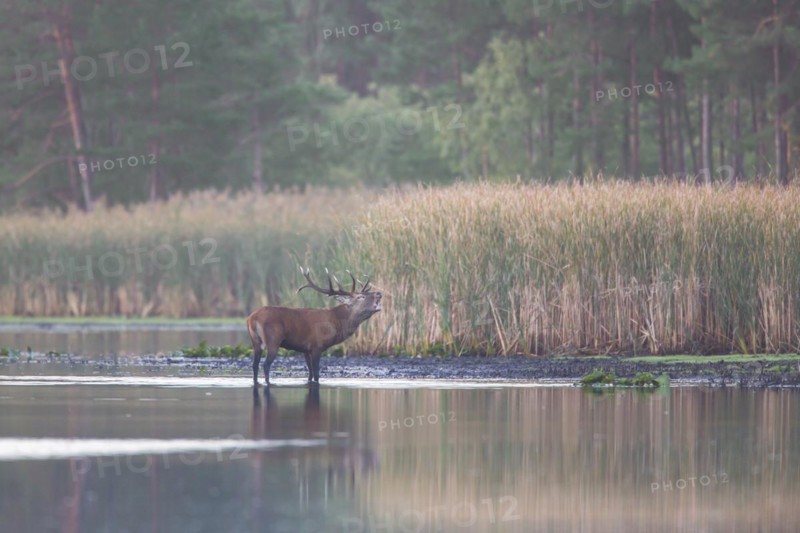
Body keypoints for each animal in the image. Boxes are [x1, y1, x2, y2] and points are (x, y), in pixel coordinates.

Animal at [246, 268, 382, 386]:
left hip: (255, 342)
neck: (336, 324)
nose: (379, 293)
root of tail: (252, 318)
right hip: (273, 340)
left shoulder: (305, 349)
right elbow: (316, 373)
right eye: (360, 297)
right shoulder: (317, 345)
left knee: (254, 365)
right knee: (265, 365)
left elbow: (310, 373)